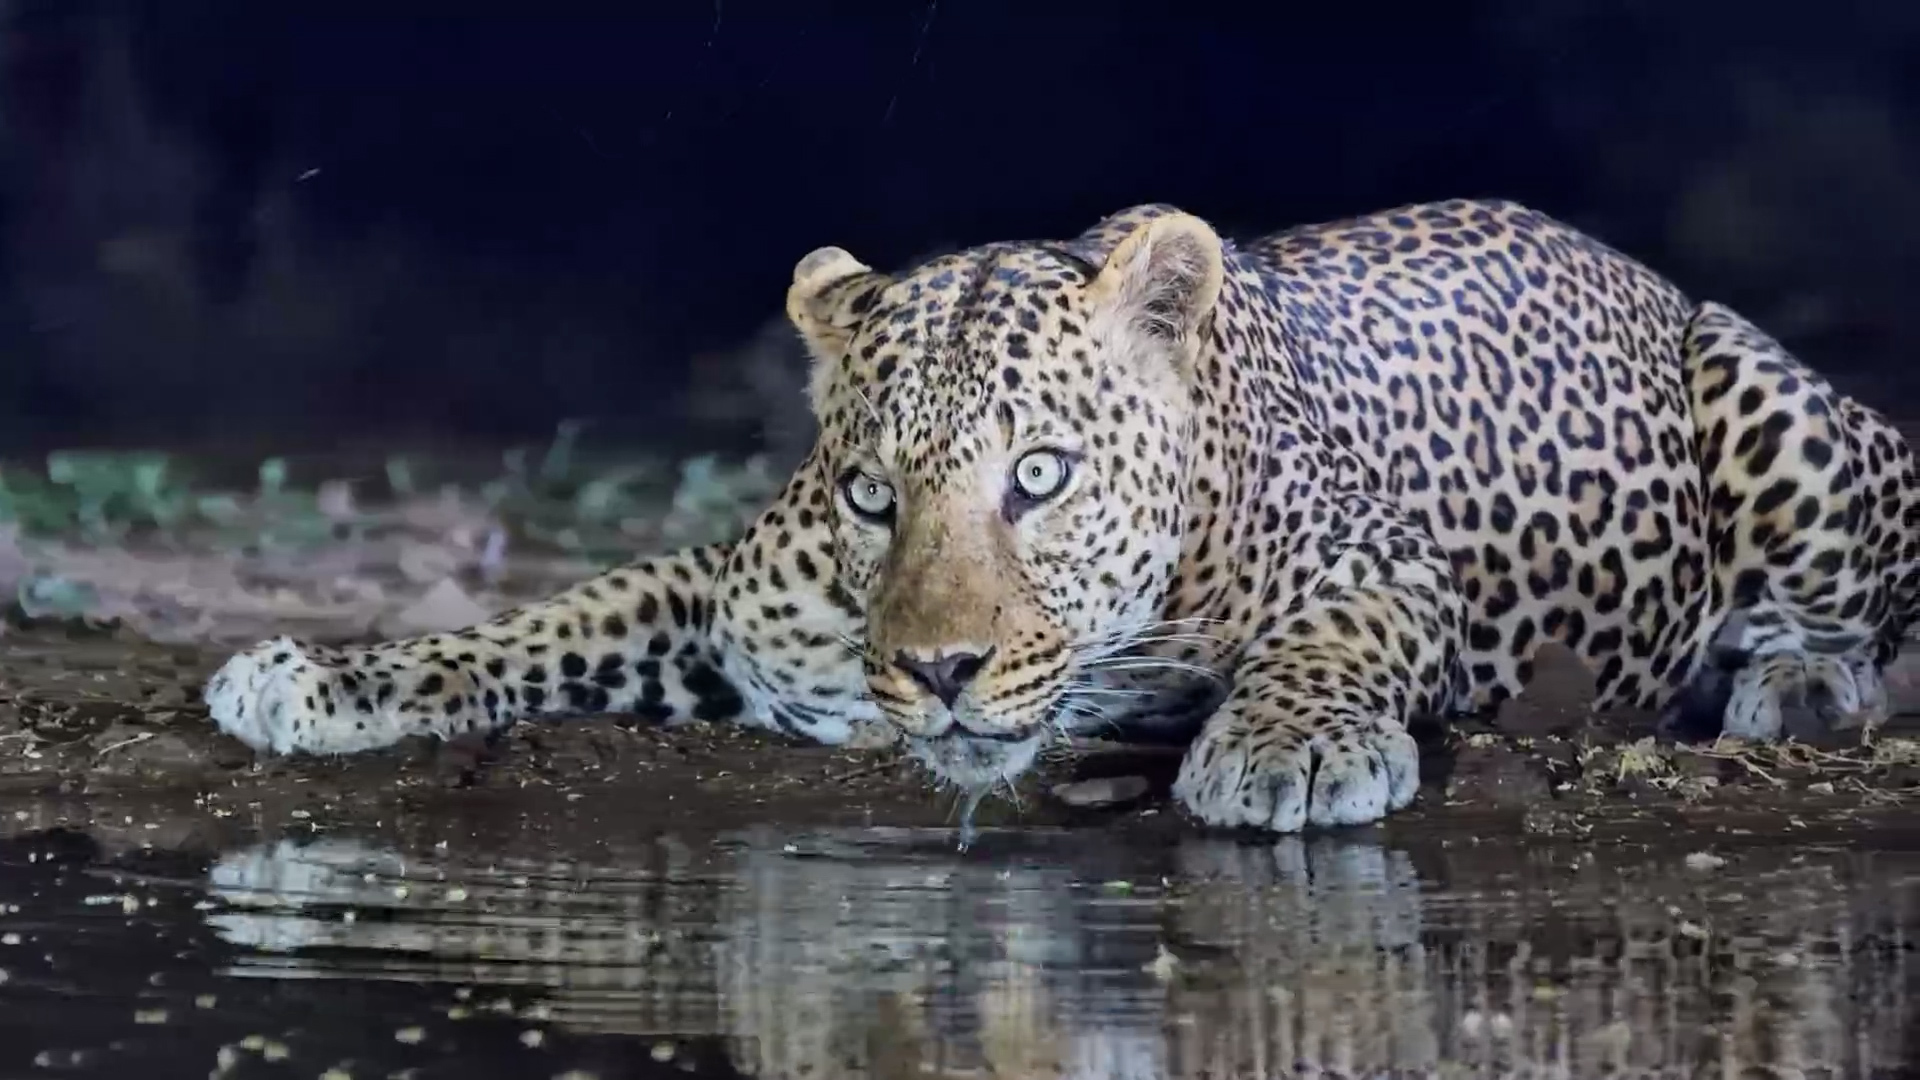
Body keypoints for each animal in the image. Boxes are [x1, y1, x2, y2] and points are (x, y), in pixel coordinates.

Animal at [202, 198, 1920, 836]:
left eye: (1040, 477)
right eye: (874, 495)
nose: (940, 673)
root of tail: (1633, 265)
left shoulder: (1381, 564)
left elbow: (1333, 640)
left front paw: (1288, 756)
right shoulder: (724, 599)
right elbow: (540, 623)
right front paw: (321, 676)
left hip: (1773, 404)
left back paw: (1796, 685)